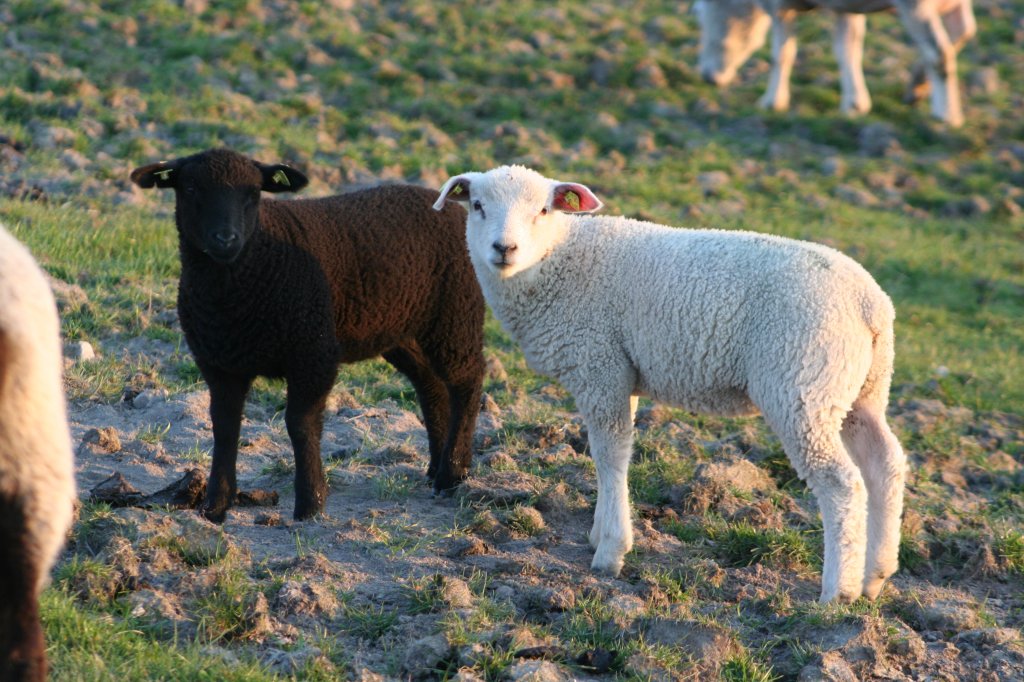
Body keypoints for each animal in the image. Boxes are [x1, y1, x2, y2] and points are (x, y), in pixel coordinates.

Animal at [130, 148, 485, 520]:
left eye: (253, 193)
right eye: (190, 189)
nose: (226, 239)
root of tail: (444, 203)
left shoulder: (314, 353)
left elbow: (300, 425)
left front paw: (310, 503)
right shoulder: (219, 363)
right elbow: (224, 427)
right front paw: (216, 505)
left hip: (455, 313)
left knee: (467, 381)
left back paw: (452, 472)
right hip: (399, 329)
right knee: (431, 386)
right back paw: (437, 466)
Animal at [432, 165, 905, 602]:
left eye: (544, 210)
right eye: (477, 206)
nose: (504, 248)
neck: (559, 260)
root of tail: (870, 303)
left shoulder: (599, 365)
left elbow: (609, 455)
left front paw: (611, 552)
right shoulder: (620, 372)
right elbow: (610, 454)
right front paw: (599, 531)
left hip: (802, 385)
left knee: (840, 481)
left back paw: (836, 593)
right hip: (858, 389)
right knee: (885, 463)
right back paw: (875, 576)